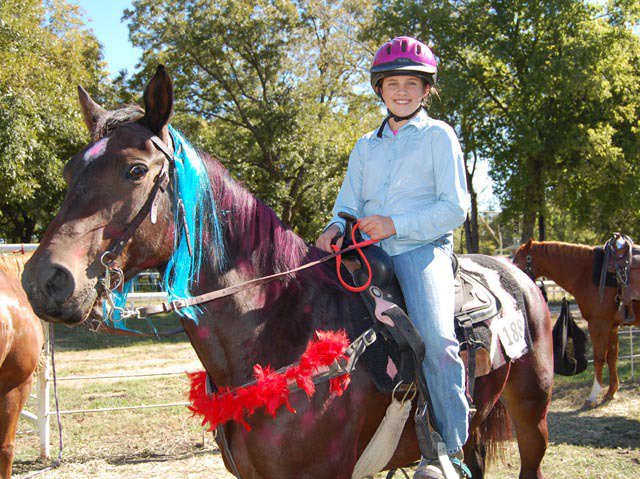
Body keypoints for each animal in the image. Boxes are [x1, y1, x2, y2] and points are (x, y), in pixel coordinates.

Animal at [22, 67, 552, 479]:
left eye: (135, 170)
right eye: (69, 171)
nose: (44, 280)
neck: (282, 330)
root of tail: (517, 274)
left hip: (532, 418)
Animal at [516, 238, 640, 406]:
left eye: (517, 262)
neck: (586, 273)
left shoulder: (598, 324)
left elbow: (599, 358)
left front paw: (593, 396)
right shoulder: (612, 326)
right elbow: (612, 357)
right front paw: (610, 392)